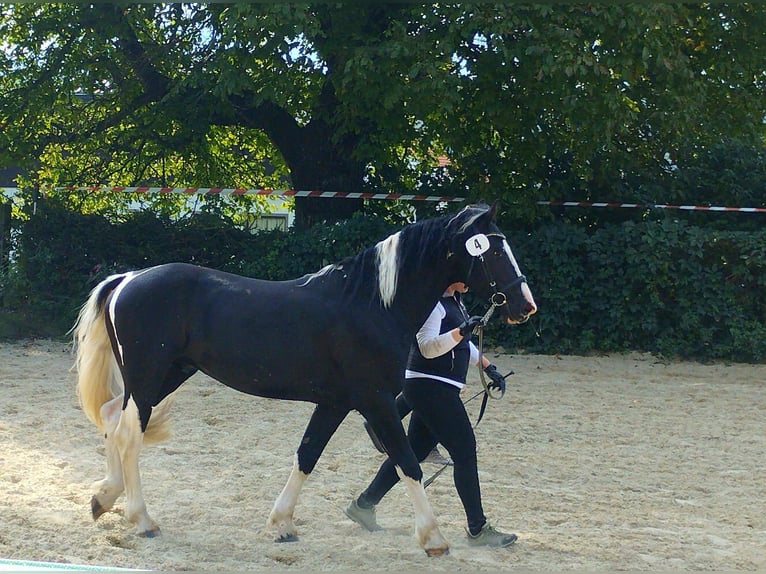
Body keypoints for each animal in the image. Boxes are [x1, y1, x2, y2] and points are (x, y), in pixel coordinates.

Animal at [73, 202, 540, 560]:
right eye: (494, 251)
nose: (525, 305)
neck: (373, 303)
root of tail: (128, 279)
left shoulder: (336, 403)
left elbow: (307, 455)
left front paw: (282, 525)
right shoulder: (376, 401)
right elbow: (407, 463)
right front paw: (434, 539)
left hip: (164, 377)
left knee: (112, 419)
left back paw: (103, 499)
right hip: (149, 378)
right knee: (128, 435)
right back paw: (143, 520)